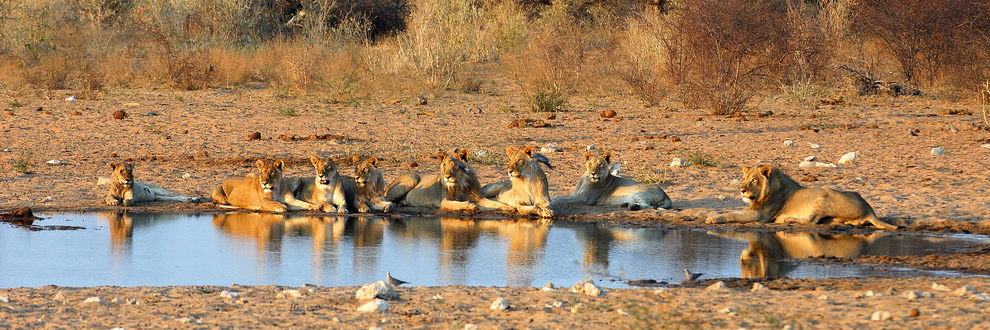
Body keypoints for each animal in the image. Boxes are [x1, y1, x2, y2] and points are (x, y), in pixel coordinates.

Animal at [384, 150, 516, 214]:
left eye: (454, 166)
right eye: (444, 165)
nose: (447, 177)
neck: (461, 184)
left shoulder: (478, 197)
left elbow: (494, 203)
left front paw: (509, 207)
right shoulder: (444, 201)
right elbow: (457, 204)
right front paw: (469, 206)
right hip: (413, 178)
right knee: (387, 197)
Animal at [700, 165, 904, 229]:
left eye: (754, 180)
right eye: (744, 179)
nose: (741, 190)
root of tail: (869, 209)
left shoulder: (761, 215)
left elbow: (732, 214)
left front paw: (714, 218)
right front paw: (711, 213)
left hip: (824, 194)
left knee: (812, 220)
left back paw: (785, 219)